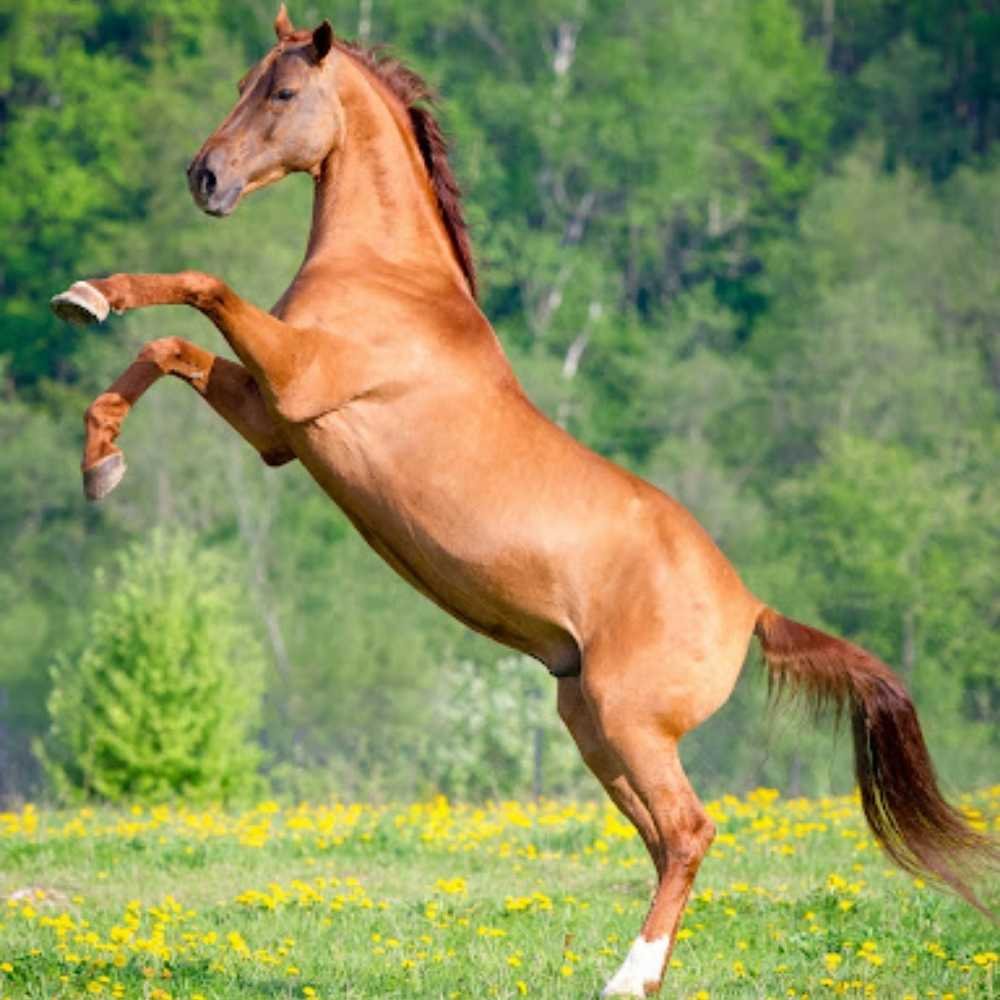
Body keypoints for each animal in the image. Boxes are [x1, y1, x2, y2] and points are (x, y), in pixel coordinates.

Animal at [50, 6, 996, 996]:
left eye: (283, 91)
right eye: (243, 82)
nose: (205, 176)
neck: (391, 279)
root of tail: (752, 607)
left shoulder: (297, 381)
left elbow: (200, 287)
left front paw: (89, 298)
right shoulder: (278, 426)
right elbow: (166, 348)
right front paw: (99, 455)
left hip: (628, 722)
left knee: (690, 831)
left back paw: (626, 978)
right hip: (592, 727)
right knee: (666, 842)